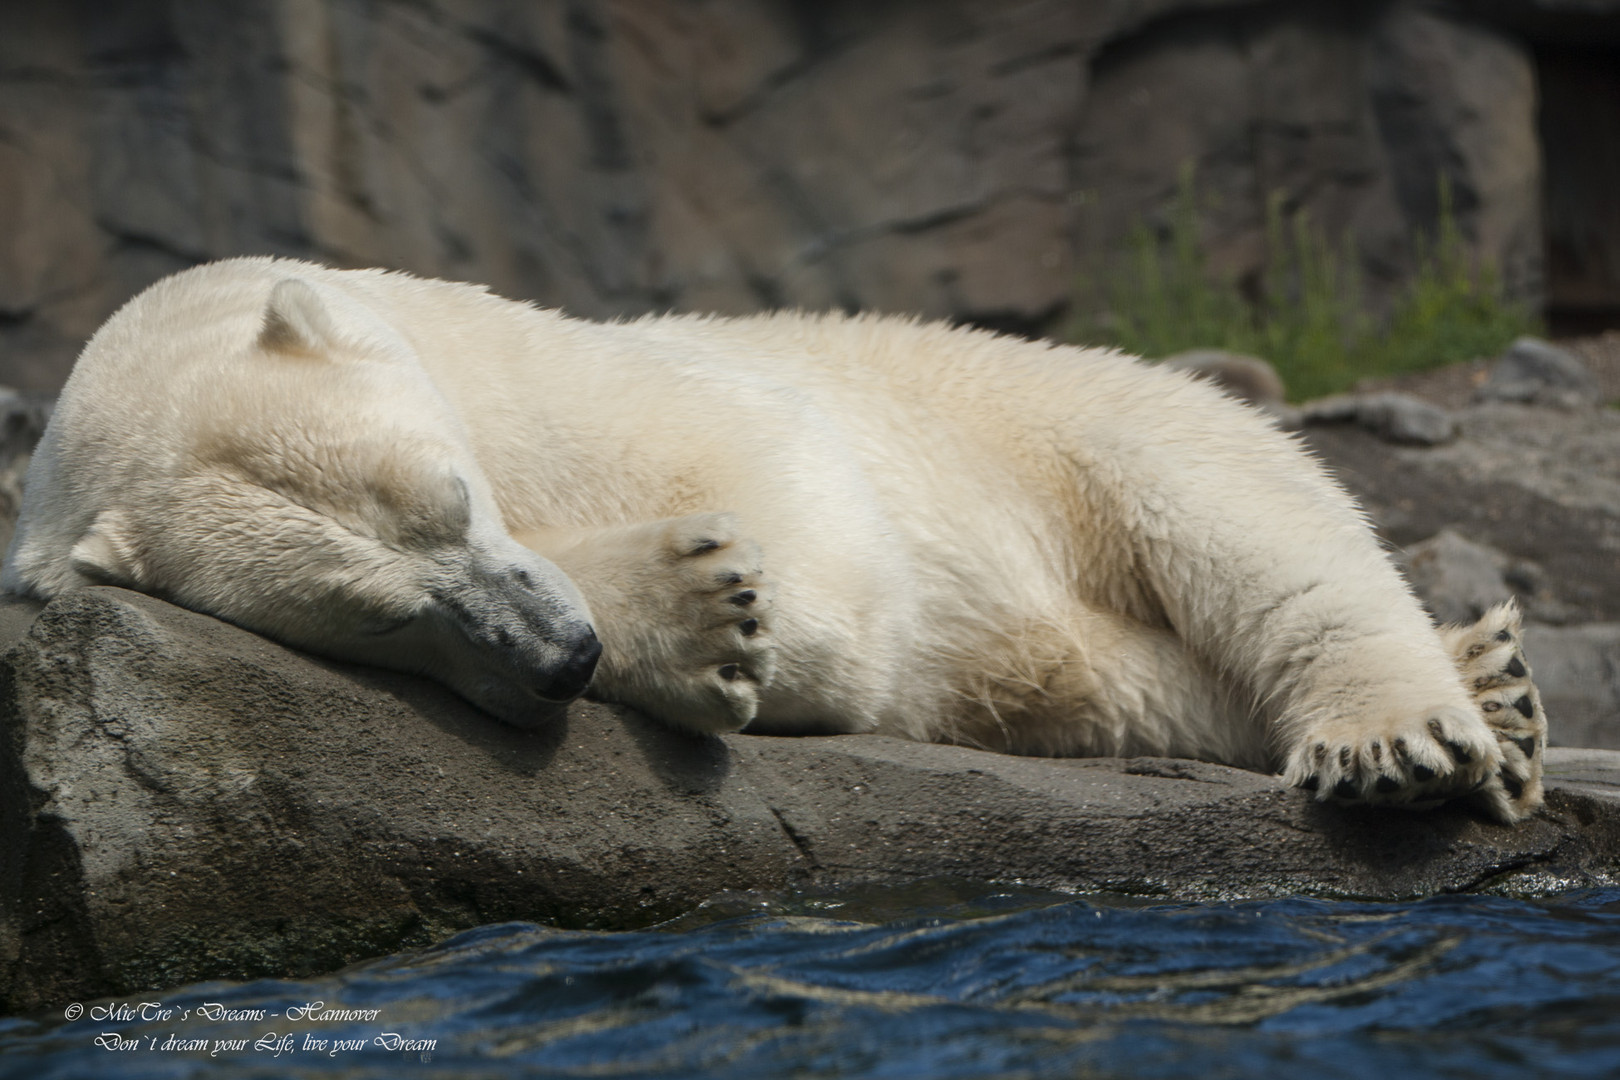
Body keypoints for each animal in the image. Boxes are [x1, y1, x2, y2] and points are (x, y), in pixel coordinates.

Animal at [0, 257, 1542, 822]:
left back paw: (1411, 730)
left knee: (1249, 525)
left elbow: (802, 526)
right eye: (375, 617)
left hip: (1065, 418)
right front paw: (680, 615)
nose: (560, 657)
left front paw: (700, 602)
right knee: (1130, 682)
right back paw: (1497, 689)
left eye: (451, 498)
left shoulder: (554, 374)